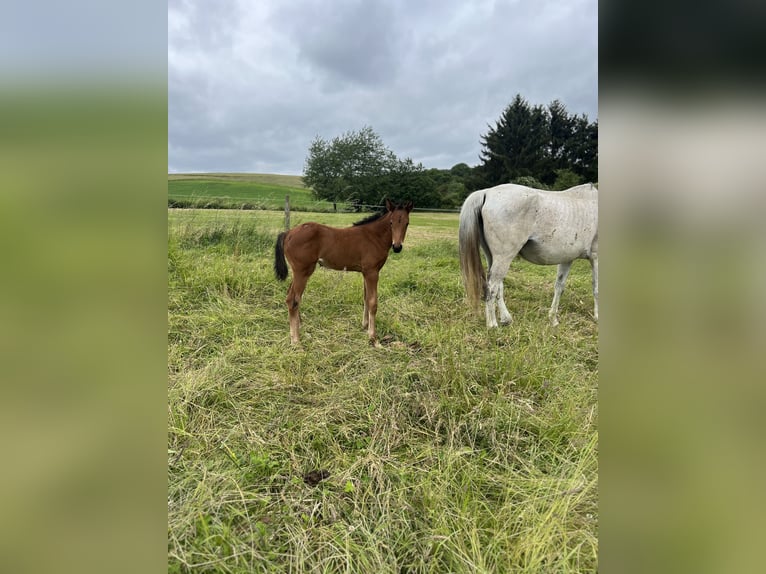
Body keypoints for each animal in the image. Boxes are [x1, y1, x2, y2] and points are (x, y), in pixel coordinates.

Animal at [456, 184, 600, 328]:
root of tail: (487, 192)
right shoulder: (595, 257)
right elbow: (596, 288)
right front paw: (597, 317)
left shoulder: (567, 259)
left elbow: (559, 287)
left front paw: (553, 319)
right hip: (504, 258)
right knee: (492, 287)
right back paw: (492, 325)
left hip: (492, 257)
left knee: (498, 286)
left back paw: (505, 319)